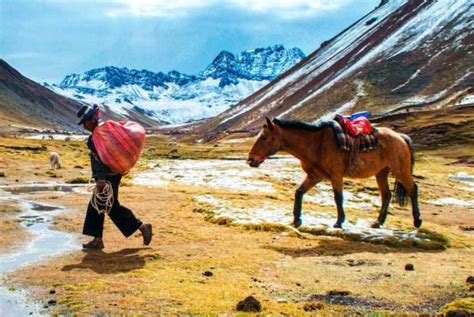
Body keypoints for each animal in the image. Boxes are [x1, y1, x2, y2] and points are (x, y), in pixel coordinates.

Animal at [244, 117, 422, 228]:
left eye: (264, 137)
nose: (250, 160)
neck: (315, 144)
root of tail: (401, 137)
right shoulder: (315, 175)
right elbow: (299, 192)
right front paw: (297, 220)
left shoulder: (336, 175)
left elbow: (338, 197)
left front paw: (339, 222)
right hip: (381, 172)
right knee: (386, 195)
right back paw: (378, 222)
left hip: (400, 170)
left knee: (412, 189)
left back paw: (417, 221)